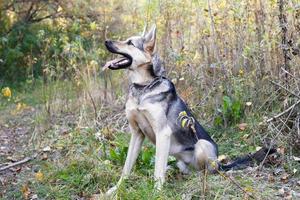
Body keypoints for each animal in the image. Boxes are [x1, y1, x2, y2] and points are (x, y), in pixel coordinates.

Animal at [102, 24, 276, 195]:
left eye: (130, 43)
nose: (106, 41)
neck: (144, 88)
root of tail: (220, 165)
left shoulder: (162, 133)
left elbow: (157, 169)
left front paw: (157, 192)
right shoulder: (136, 133)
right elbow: (127, 167)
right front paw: (116, 189)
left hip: (203, 145)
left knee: (206, 172)